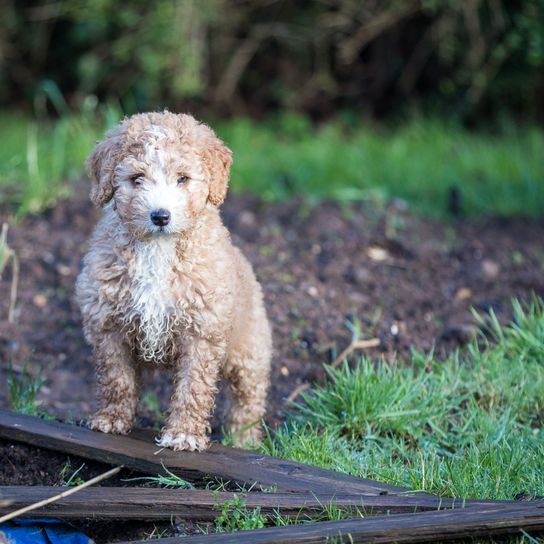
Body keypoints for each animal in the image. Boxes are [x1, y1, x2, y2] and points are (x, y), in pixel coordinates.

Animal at [75, 110, 270, 450]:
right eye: (137, 178)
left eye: (182, 179)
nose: (160, 215)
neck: (158, 249)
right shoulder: (107, 325)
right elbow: (116, 378)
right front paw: (112, 419)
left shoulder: (202, 332)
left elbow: (193, 388)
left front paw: (183, 434)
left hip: (249, 350)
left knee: (248, 398)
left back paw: (243, 440)